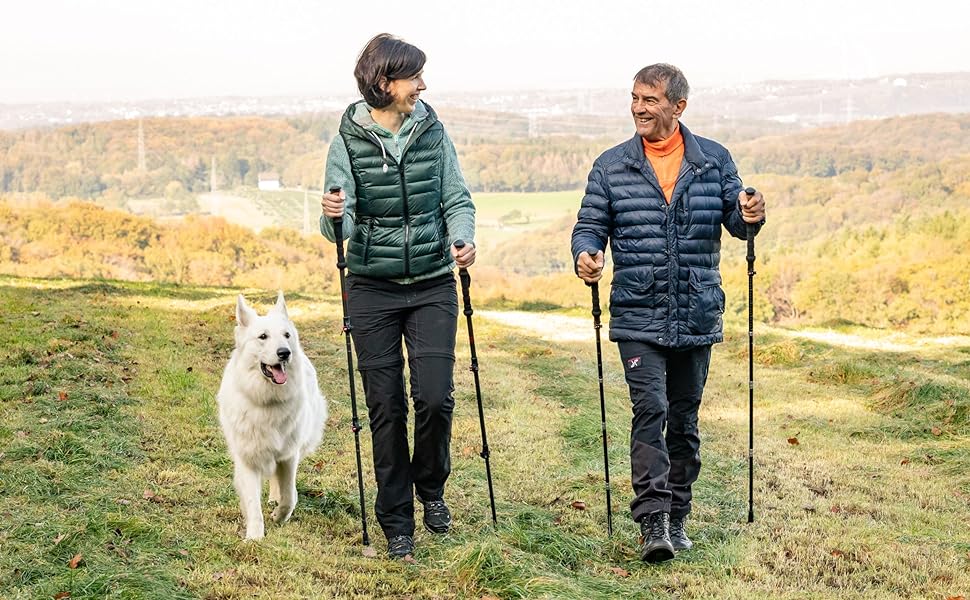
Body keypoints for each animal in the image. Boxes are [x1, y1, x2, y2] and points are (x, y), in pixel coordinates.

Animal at [217, 292, 328, 540]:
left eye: (286, 336)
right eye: (263, 337)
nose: (284, 353)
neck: (267, 401)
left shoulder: (288, 455)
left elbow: (289, 496)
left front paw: (279, 516)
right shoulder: (248, 458)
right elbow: (252, 503)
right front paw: (254, 537)